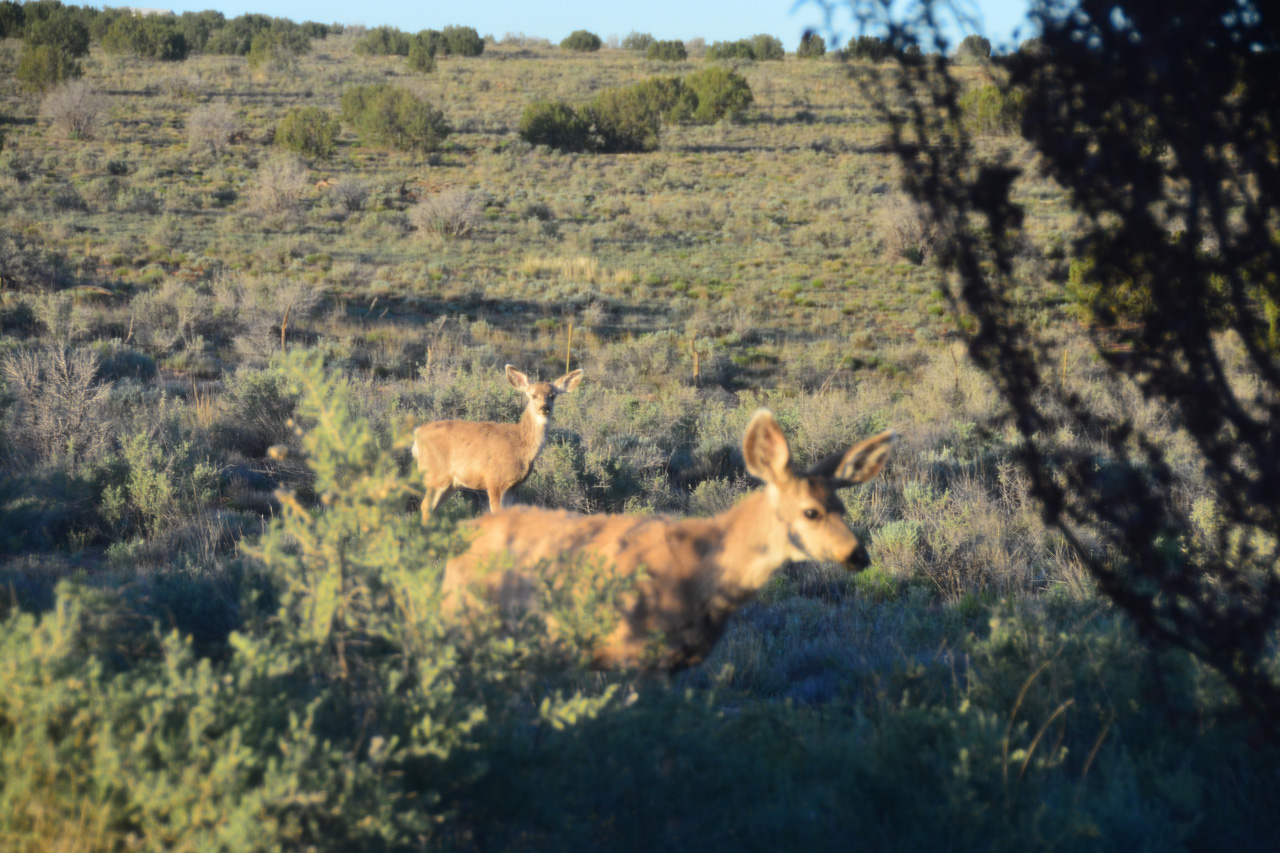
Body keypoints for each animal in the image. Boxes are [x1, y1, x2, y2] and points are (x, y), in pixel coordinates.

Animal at [409, 361, 586, 522]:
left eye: (552, 396)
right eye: (532, 395)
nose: (544, 408)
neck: (521, 447)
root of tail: (417, 434)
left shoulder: (512, 486)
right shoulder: (494, 480)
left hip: (452, 483)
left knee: (433, 508)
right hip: (435, 474)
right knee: (425, 506)